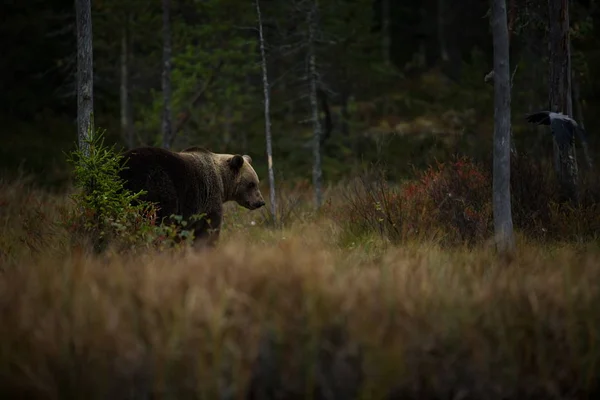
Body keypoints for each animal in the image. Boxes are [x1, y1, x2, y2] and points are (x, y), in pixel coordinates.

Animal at [117, 147, 264, 247]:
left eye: (257, 182)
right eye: (251, 184)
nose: (260, 202)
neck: (222, 182)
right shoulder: (209, 200)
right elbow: (209, 229)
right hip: (159, 186)